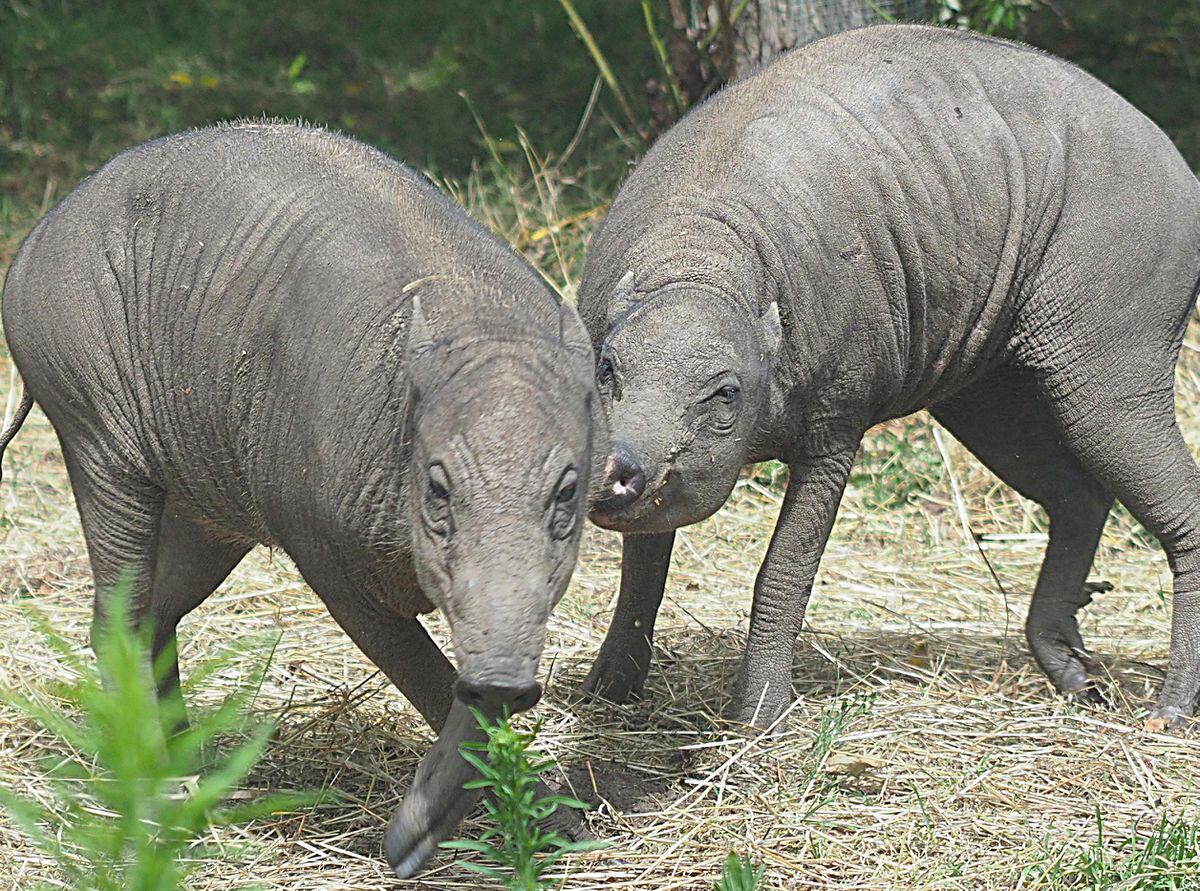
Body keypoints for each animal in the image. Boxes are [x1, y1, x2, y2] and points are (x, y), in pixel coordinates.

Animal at [0, 120, 600, 878]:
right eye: (437, 486)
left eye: (567, 490)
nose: (504, 681)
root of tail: (35, 238)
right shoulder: (324, 552)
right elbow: (427, 674)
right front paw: (406, 848)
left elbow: (469, 670)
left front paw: (566, 829)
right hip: (97, 438)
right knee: (117, 617)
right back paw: (157, 790)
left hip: (207, 508)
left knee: (159, 612)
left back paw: (192, 767)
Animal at [571, 24, 1200, 734]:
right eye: (607, 369)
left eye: (726, 393)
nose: (616, 470)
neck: (700, 262)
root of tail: (1180, 165)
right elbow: (642, 567)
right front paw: (609, 691)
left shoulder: (834, 430)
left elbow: (783, 573)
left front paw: (760, 718)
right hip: (988, 395)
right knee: (1080, 498)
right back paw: (1069, 671)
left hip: (1110, 375)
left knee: (1179, 509)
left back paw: (1173, 708)